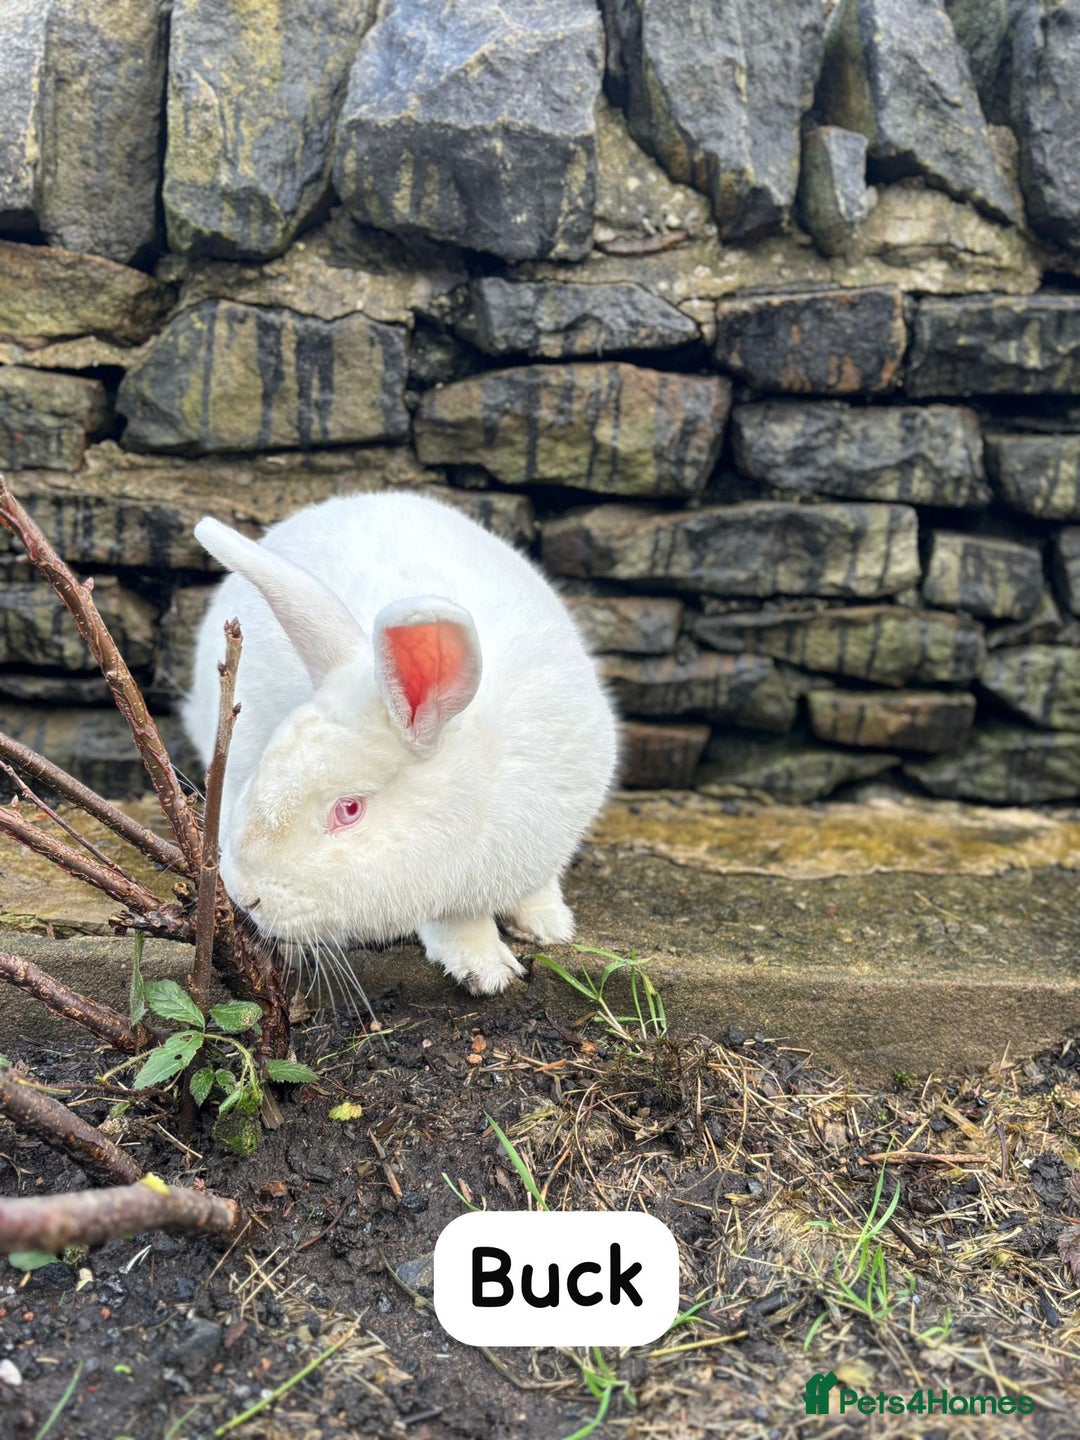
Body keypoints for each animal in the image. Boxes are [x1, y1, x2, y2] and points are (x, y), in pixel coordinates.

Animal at [183, 491, 619, 996]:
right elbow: (458, 923)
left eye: (349, 809)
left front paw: (549, 925)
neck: (487, 785)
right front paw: (486, 970)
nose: (244, 895)